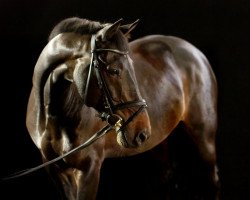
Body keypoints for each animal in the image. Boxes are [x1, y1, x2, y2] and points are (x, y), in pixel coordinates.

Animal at [25, 17, 219, 200]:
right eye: (115, 71)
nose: (142, 131)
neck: (55, 116)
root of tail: (196, 53)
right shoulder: (57, 171)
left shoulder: (89, 168)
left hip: (204, 138)